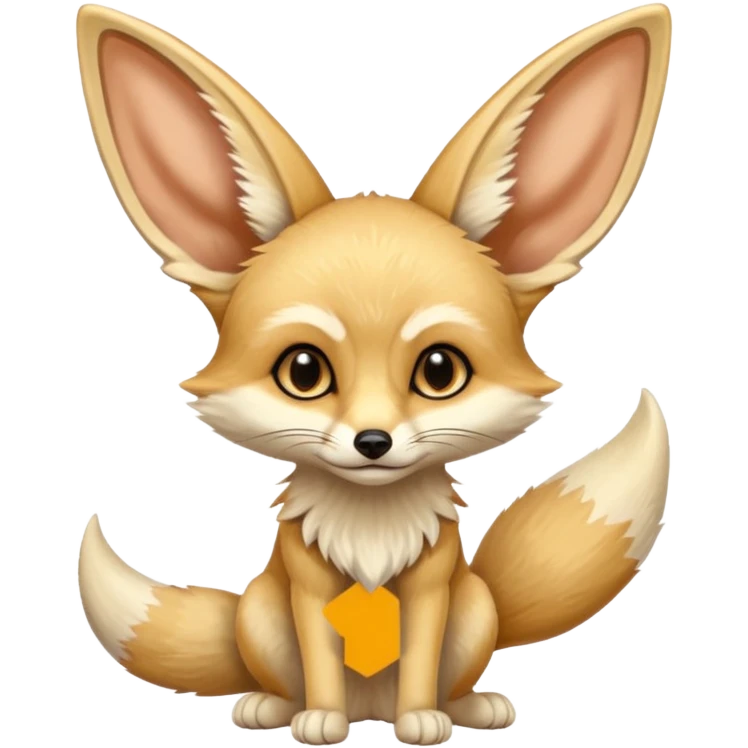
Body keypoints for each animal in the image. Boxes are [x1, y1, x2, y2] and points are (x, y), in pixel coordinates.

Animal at [75, 3, 673, 745]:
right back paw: (277, 707)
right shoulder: (306, 591)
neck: (371, 529)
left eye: (440, 371)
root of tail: (372, 709)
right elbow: (321, 662)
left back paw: (466, 708)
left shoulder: (432, 589)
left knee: (452, 676)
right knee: (282, 676)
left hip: (474, 611)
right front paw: (321, 720)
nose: (372, 442)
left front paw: (421, 720)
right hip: (260, 616)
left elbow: (418, 662)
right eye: (304, 371)